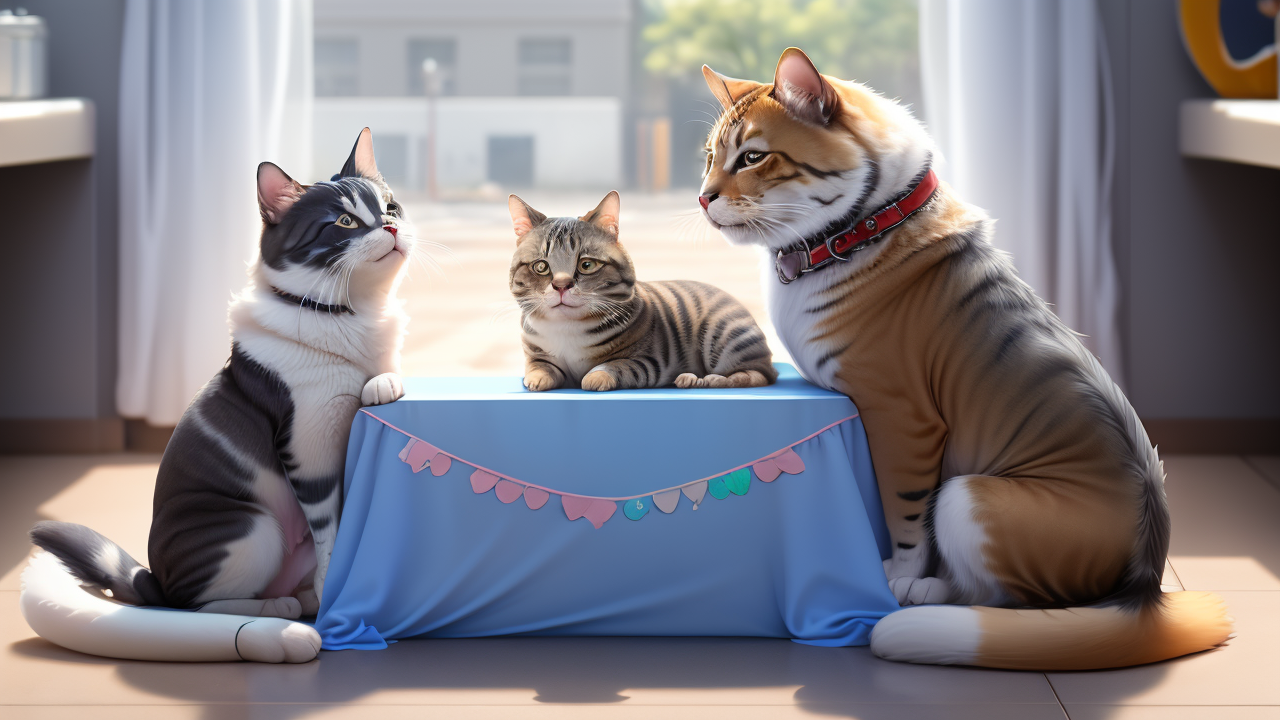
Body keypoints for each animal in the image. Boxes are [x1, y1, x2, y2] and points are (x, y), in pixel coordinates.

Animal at [22, 128, 412, 661]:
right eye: (345, 222)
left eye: (391, 207)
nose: (391, 228)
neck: (352, 315)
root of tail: (152, 576)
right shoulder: (308, 449)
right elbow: (330, 531)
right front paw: (333, 589)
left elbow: (383, 378)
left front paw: (382, 383)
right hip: (251, 527)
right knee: (194, 604)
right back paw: (281, 609)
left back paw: (302, 595)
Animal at [506, 190, 768, 389]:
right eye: (541, 266)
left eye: (586, 265)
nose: (561, 285)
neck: (567, 328)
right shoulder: (536, 353)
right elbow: (539, 366)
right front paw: (537, 378)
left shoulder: (647, 361)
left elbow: (614, 366)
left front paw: (594, 377)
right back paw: (689, 379)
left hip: (724, 335)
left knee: (756, 375)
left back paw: (711, 379)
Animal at [696, 49, 1233, 666]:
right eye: (710, 156)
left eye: (753, 157)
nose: (703, 196)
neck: (864, 225)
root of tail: (1146, 584)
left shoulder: (903, 418)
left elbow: (903, 510)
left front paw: (898, 575)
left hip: (966, 495)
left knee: (1008, 599)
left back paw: (922, 594)